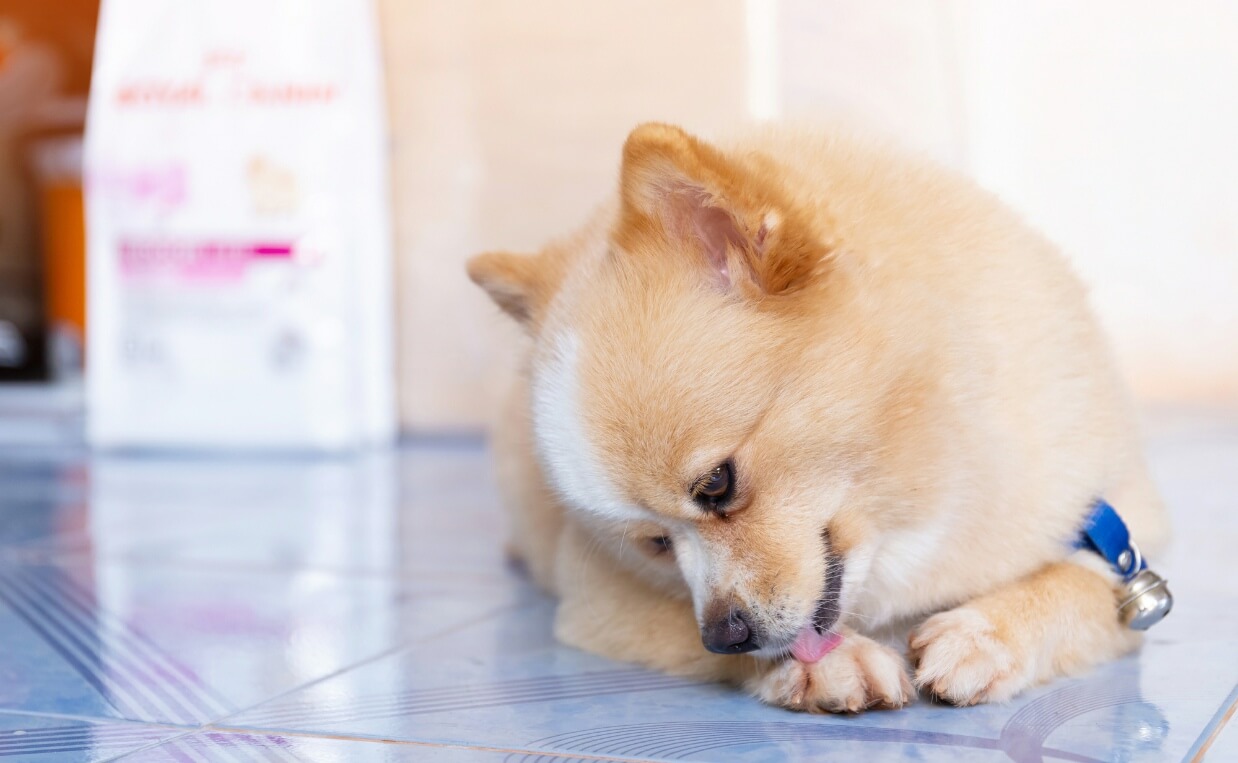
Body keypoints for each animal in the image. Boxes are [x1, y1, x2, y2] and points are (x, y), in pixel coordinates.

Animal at [465, 122, 1168, 713]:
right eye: (656, 545)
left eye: (717, 484)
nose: (726, 633)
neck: (914, 504)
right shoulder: (596, 602)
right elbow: (689, 627)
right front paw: (825, 663)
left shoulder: (1126, 547)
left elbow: (1078, 585)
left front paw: (986, 633)